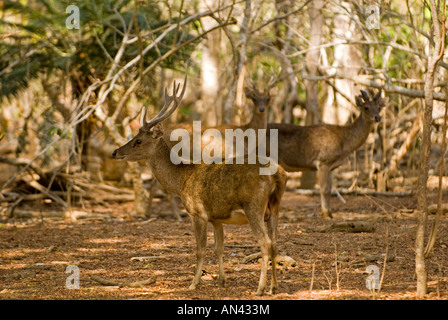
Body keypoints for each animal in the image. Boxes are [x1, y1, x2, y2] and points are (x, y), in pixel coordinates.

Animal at [112, 77, 288, 296]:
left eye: (138, 141)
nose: (115, 152)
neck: (181, 181)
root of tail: (276, 175)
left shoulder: (198, 212)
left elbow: (200, 249)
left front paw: (193, 283)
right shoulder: (217, 218)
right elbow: (219, 248)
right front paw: (221, 281)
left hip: (253, 206)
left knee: (265, 243)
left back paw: (260, 288)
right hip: (275, 207)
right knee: (275, 243)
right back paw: (274, 286)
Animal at [268, 89, 386, 219]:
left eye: (379, 107)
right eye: (366, 107)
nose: (378, 117)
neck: (344, 143)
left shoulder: (331, 166)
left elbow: (329, 189)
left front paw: (330, 213)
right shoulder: (323, 161)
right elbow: (324, 189)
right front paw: (325, 214)